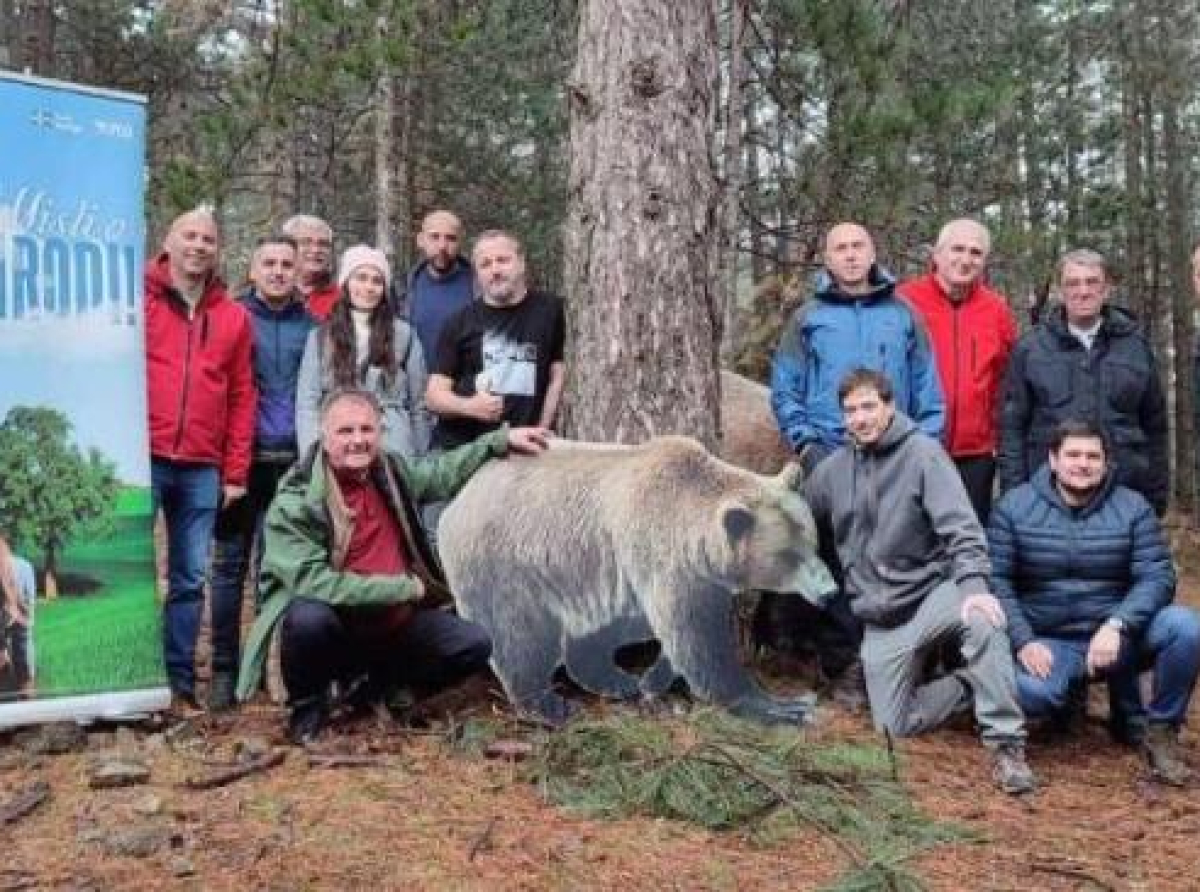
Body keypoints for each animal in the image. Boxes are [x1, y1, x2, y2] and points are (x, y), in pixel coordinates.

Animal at [434, 436, 835, 725]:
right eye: (788, 555)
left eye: (813, 542)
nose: (829, 591)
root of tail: (458, 499)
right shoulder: (664, 559)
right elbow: (697, 638)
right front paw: (782, 705)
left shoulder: (639, 575)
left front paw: (651, 680)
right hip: (506, 563)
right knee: (518, 635)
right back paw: (548, 705)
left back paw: (616, 680)